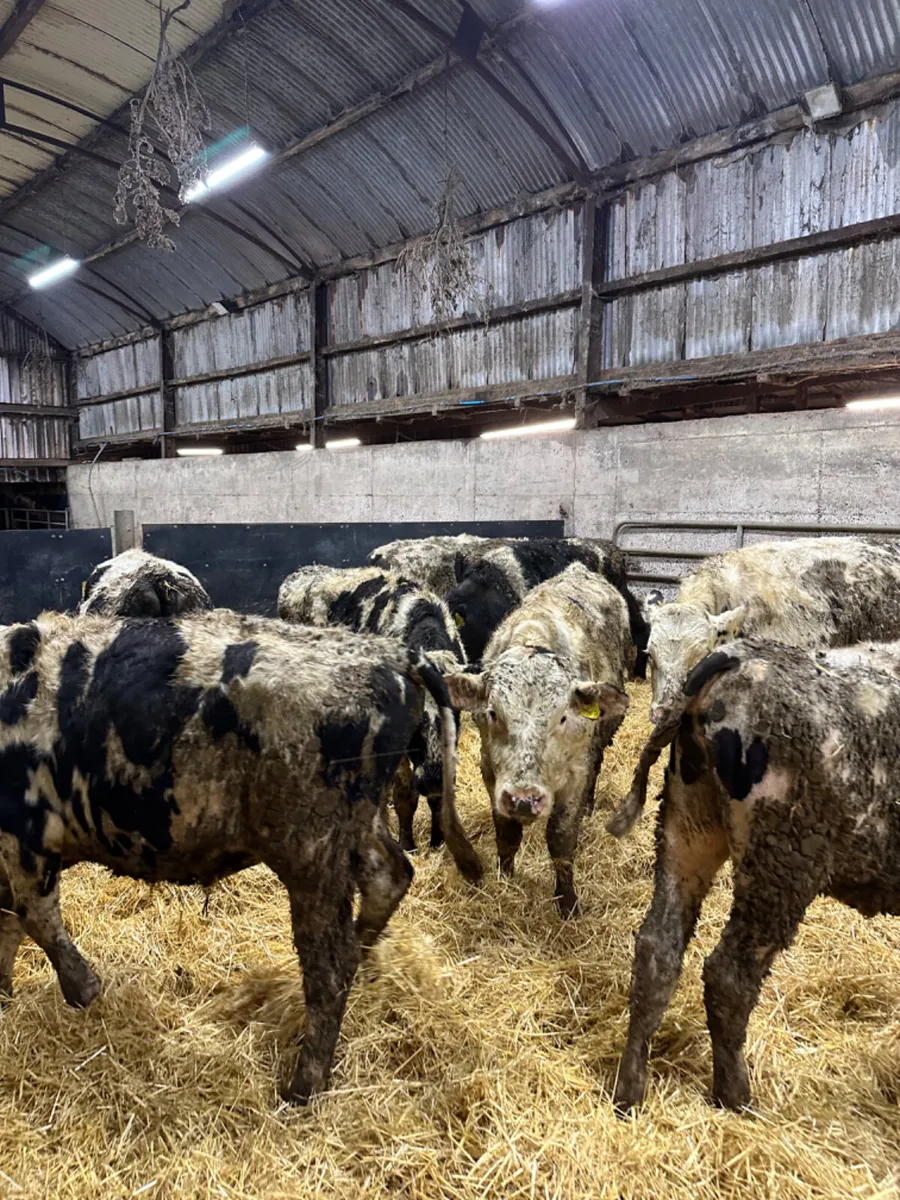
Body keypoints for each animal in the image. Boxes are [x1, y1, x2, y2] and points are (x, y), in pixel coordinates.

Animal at [0, 608, 480, 1104]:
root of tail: (394, 655)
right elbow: (9, 922)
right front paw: (5, 997)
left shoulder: (26, 830)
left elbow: (32, 916)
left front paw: (84, 990)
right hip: (358, 826)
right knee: (391, 876)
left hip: (313, 851)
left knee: (330, 963)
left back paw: (302, 1087)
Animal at [277, 565, 466, 854]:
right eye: (416, 718)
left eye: (455, 714)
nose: (433, 778)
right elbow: (404, 795)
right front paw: (407, 844)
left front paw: (438, 841)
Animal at [446, 564, 631, 917]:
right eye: (493, 712)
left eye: (563, 717)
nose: (523, 799)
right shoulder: (491, 770)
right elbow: (507, 833)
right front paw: (506, 878)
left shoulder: (576, 773)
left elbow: (561, 838)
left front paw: (567, 901)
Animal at [613, 638, 900, 1113]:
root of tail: (733, 656)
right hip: (782, 860)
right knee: (728, 976)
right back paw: (735, 1097)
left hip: (687, 827)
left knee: (657, 951)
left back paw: (630, 1091)